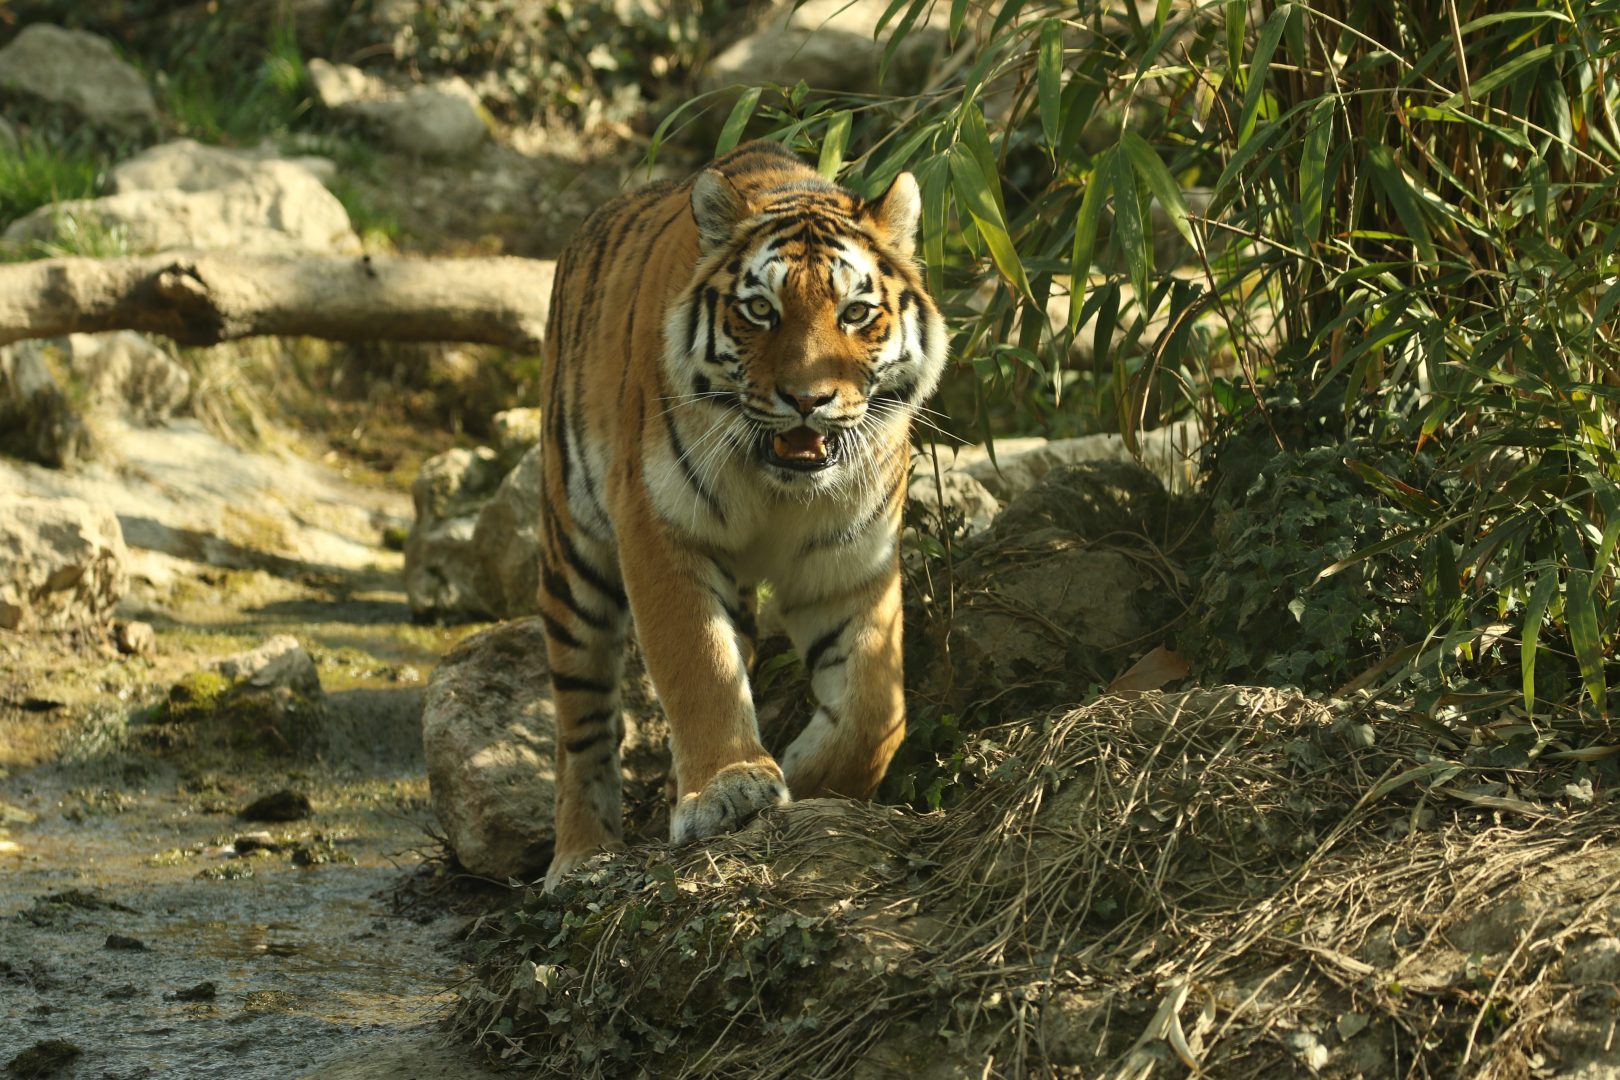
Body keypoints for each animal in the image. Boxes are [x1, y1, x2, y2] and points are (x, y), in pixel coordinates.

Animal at [536, 139, 948, 890]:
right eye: (760, 310)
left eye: (854, 313)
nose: (808, 398)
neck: (779, 484)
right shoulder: (658, 530)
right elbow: (698, 662)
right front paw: (730, 788)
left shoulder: (852, 559)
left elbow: (875, 711)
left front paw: (804, 777)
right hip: (574, 556)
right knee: (582, 723)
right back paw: (582, 856)